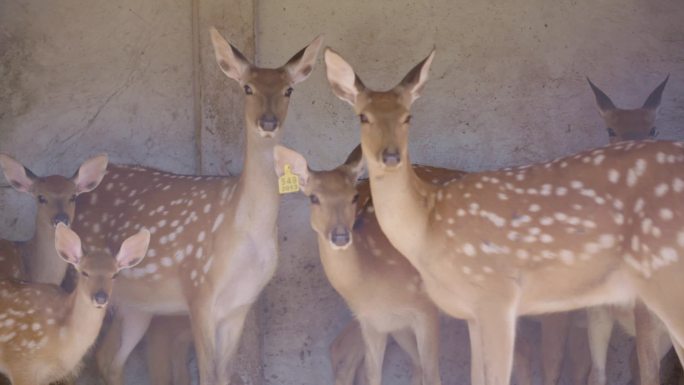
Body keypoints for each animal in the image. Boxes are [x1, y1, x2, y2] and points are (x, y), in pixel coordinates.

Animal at [73, 27, 324, 384]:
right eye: (247, 87)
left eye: (288, 89)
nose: (268, 121)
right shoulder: (198, 289)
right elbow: (207, 375)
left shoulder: (240, 305)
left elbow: (224, 375)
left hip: (135, 303)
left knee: (108, 357)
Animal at [324, 48, 684, 384]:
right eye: (362, 117)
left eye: (408, 117)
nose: (390, 156)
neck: (427, 223)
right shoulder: (478, 309)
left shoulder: (500, 296)